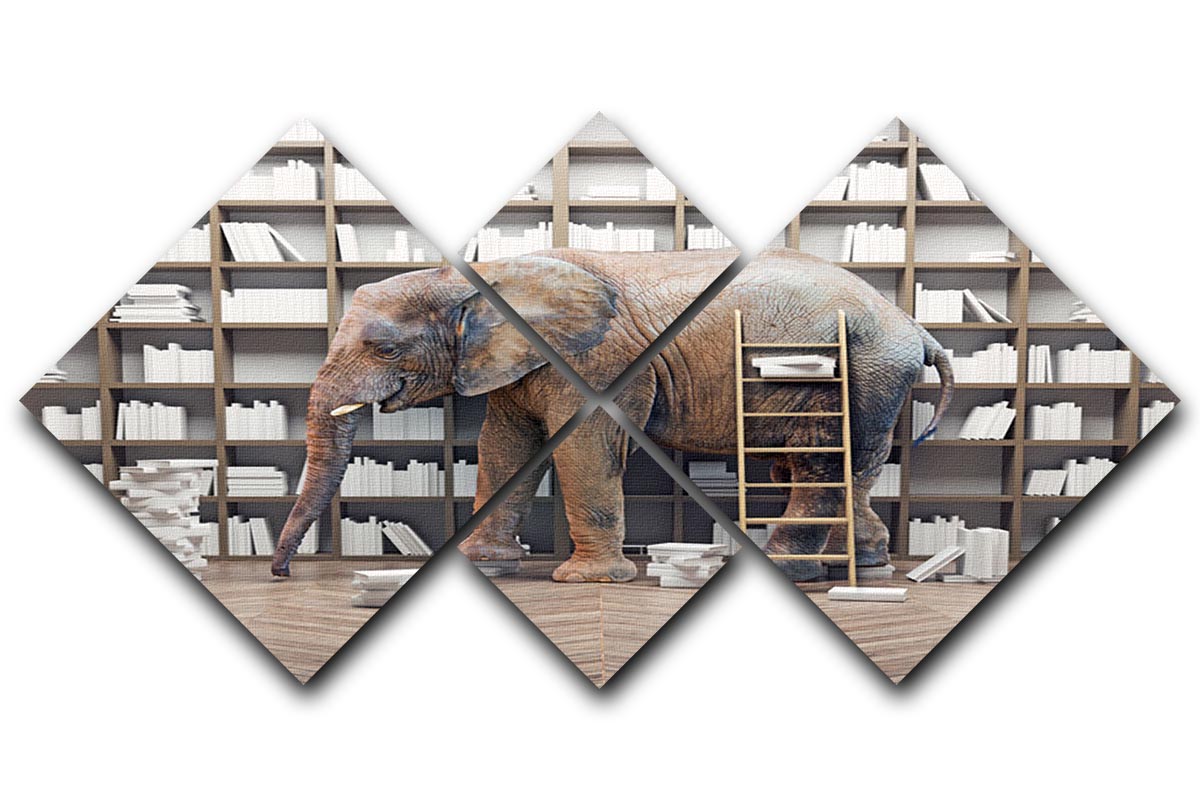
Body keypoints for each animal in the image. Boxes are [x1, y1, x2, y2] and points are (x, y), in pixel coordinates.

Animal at [270, 248, 953, 583]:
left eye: (384, 349)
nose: (280, 575)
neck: (487, 277)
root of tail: (914, 325)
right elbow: (504, 444)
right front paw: (487, 566)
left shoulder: (598, 360)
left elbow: (584, 445)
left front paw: (589, 583)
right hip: (878, 379)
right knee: (848, 466)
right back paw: (866, 565)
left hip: (858, 371)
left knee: (817, 460)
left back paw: (799, 571)